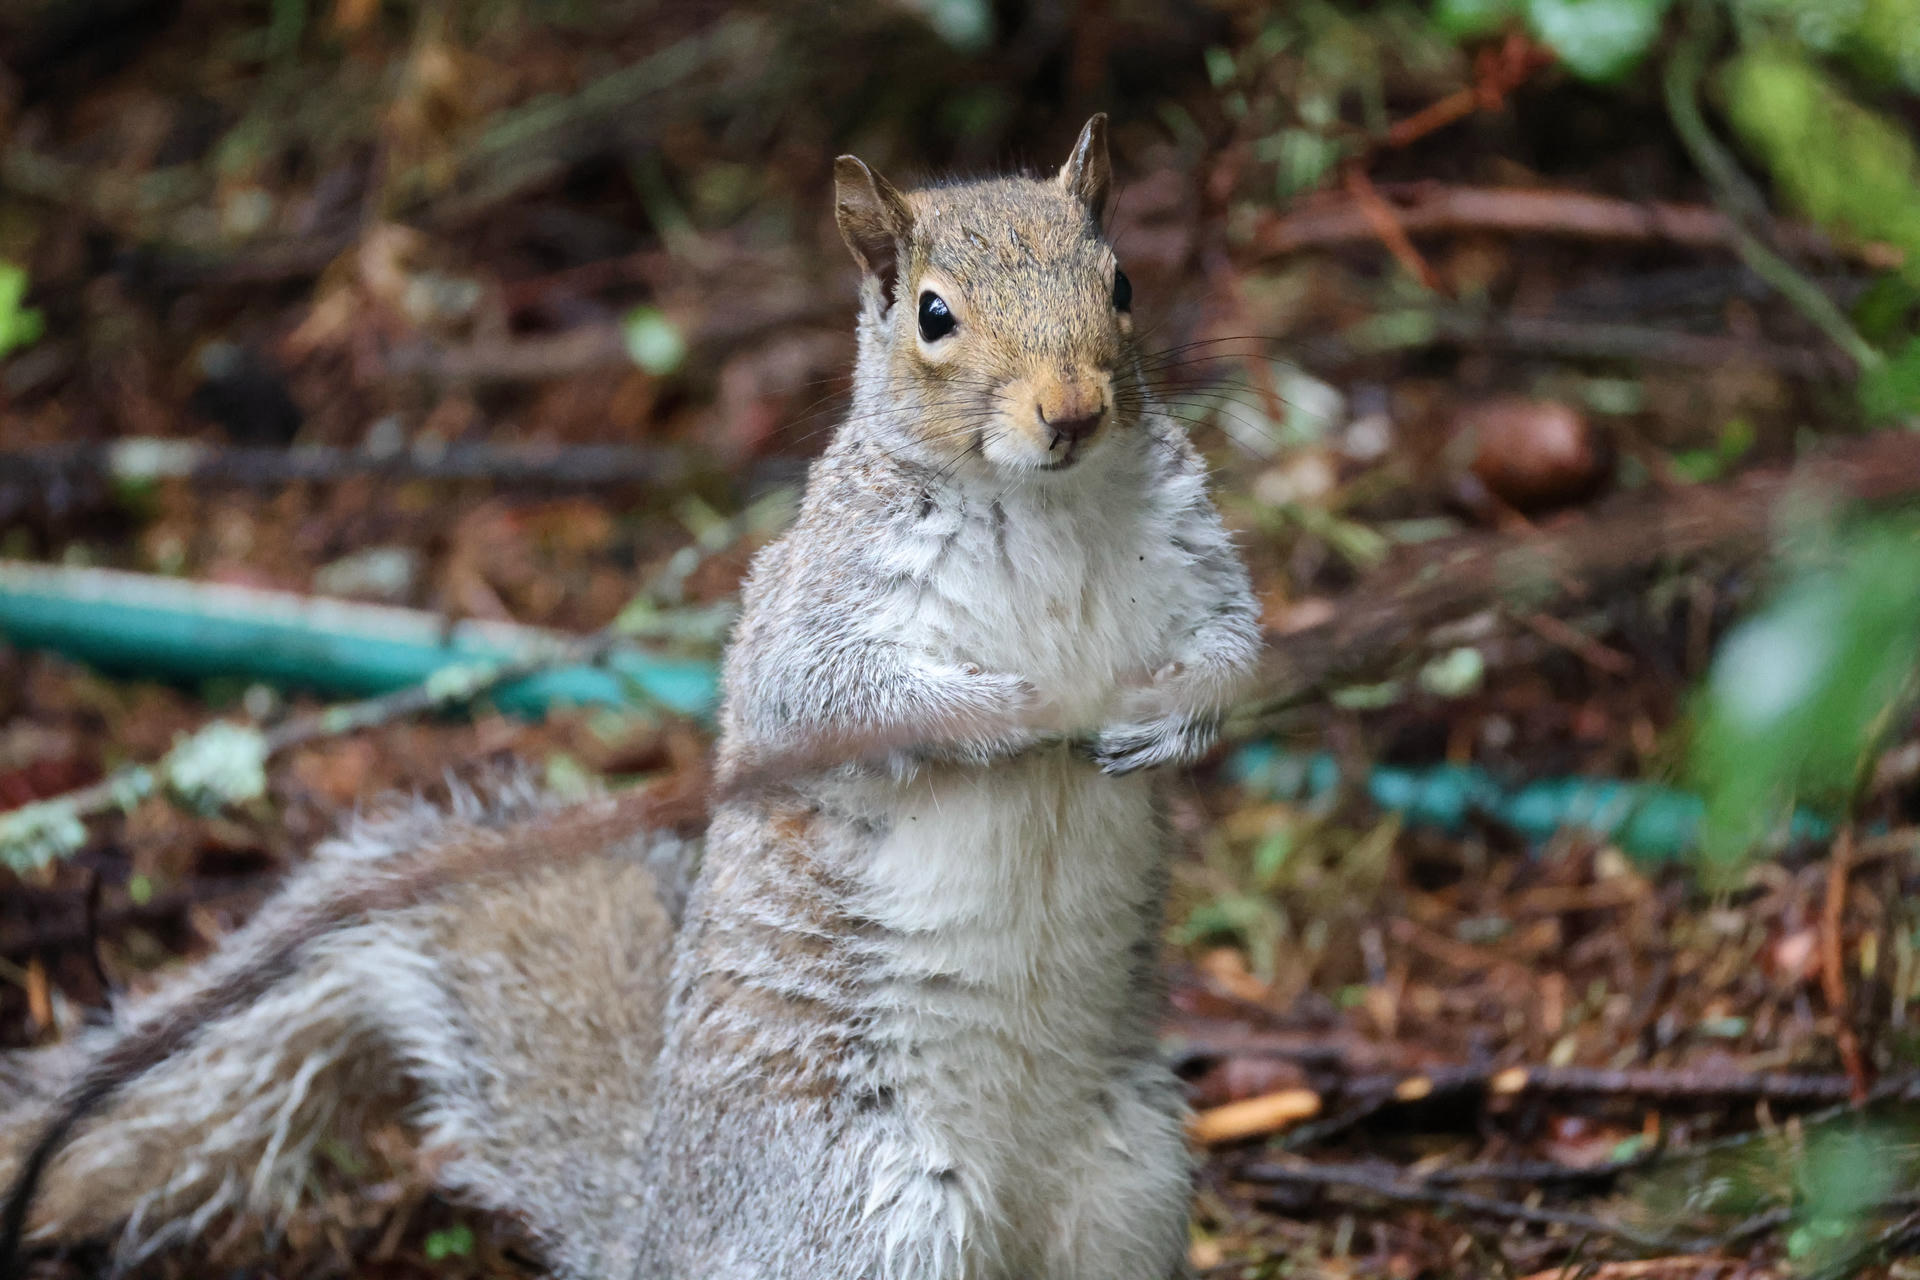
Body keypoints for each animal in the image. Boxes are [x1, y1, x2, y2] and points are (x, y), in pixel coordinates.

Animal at [0, 114, 1262, 1280]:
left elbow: (1237, 653)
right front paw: (1009, 706)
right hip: (874, 1218)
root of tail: (661, 1231)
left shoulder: (1197, 559)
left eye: (1122, 283)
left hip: (1132, 1185)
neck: (1043, 503)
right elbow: (834, 696)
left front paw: (1165, 716)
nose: (1072, 411)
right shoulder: (818, 610)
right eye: (934, 315)